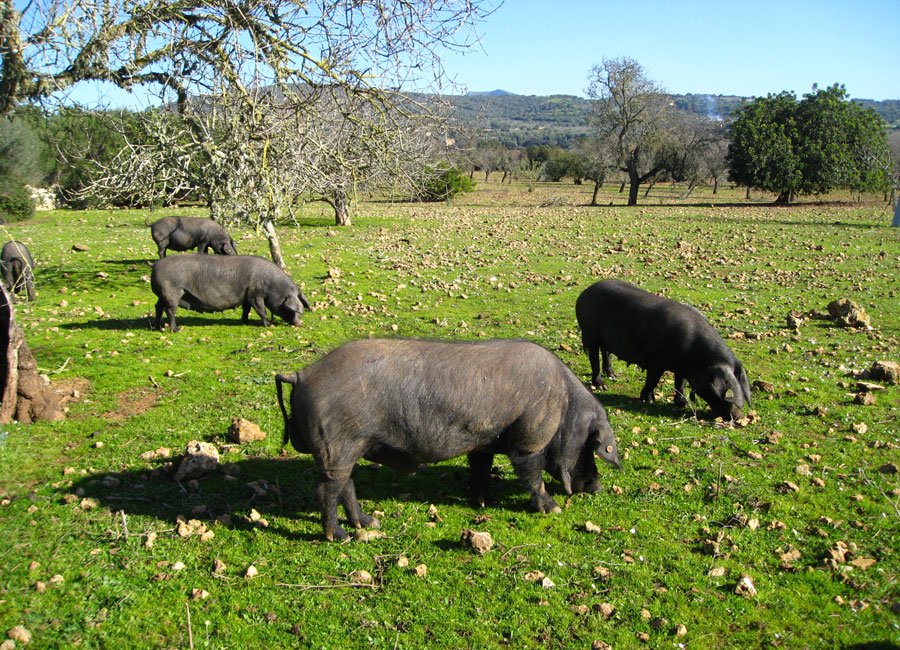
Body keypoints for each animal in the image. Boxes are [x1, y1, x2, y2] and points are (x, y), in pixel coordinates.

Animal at [150, 254, 310, 332]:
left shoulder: (247, 296)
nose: (300, 323)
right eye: (289, 308)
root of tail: (155, 266)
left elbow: (246, 309)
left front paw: (245, 322)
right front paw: (269, 325)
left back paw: (158, 327)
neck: (271, 285)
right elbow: (261, 310)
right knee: (169, 310)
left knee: (158, 307)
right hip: (173, 292)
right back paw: (176, 329)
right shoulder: (255, 295)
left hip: (162, 295)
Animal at [275, 338, 620, 541]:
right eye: (589, 448)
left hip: (346, 450)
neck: (563, 406)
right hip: (338, 445)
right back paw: (341, 536)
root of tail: (303, 373)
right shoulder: (529, 438)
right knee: (325, 491)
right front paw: (553, 509)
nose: (597, 487)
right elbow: (532, 475)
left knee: (345, 485)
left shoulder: (483, 441)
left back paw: (369, 523)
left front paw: (481, 502)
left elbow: (480, 468)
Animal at [575, 279, 751, 421]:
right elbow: (652, 381)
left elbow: (680, 383)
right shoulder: (655, 362)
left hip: (605, 339)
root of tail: (585, 292)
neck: (696, 357)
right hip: (590, 332)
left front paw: (682, 404)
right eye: (726, 395)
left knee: (605, 352)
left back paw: (612, 375)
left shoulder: (682, 368)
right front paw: (649, 400)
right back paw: (602, 386)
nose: (738, 418)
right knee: (593, 358)